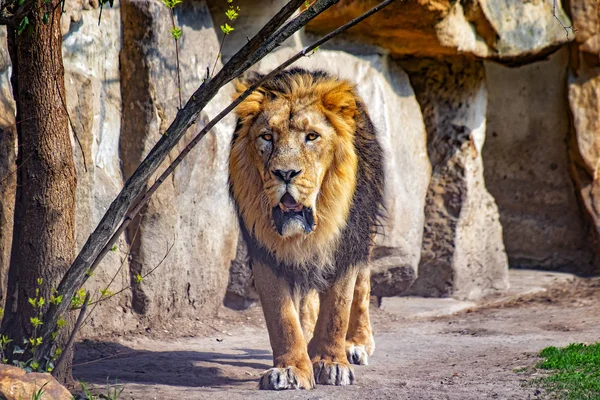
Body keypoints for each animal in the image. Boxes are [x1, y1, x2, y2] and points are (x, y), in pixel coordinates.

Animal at [227, 67, 382, 390]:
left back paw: (357, 343)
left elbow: (338, 307)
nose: (285, 173)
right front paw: (291, 369)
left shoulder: (347, 243)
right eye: (267, 137)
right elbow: (282, 316)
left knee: (362, 286)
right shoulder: (264, 250)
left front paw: (332, 363)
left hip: (366, 232)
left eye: (312, 137)